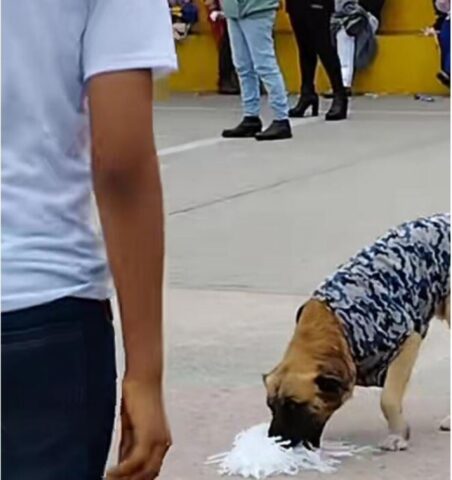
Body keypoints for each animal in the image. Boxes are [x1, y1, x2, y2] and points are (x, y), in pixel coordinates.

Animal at [264, 213, 448, 450]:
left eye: (294, 406)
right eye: (271, 406)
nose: (273, 441)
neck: (336, 327)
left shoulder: (408, 342)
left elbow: (388, 399)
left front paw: (397, 435)